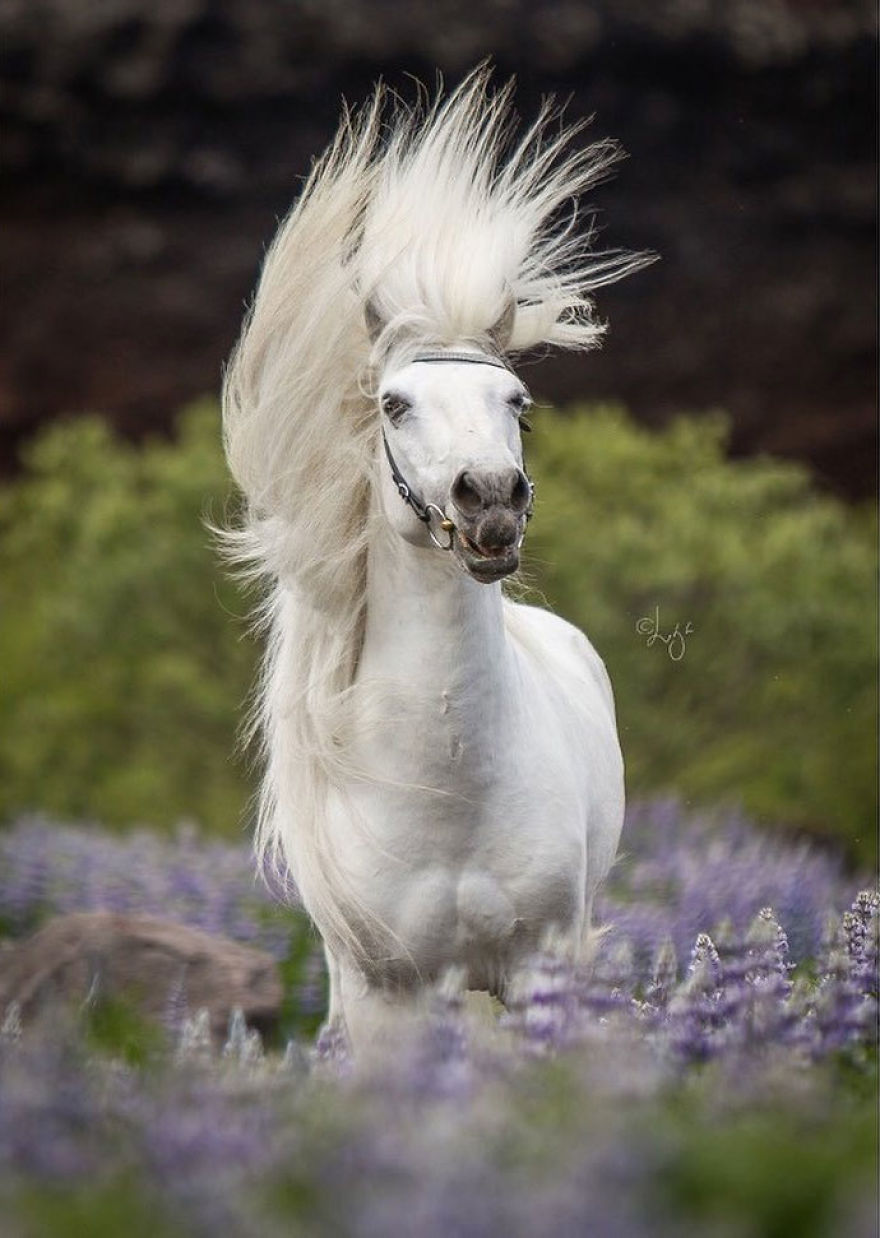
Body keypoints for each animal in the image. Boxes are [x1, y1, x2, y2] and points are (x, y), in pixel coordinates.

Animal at [222, 68, 650, 1049]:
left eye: (517, 400)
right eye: (395, 403)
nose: (490, 501)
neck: (449, 791)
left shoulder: (536, 969)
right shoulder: (388, 991)